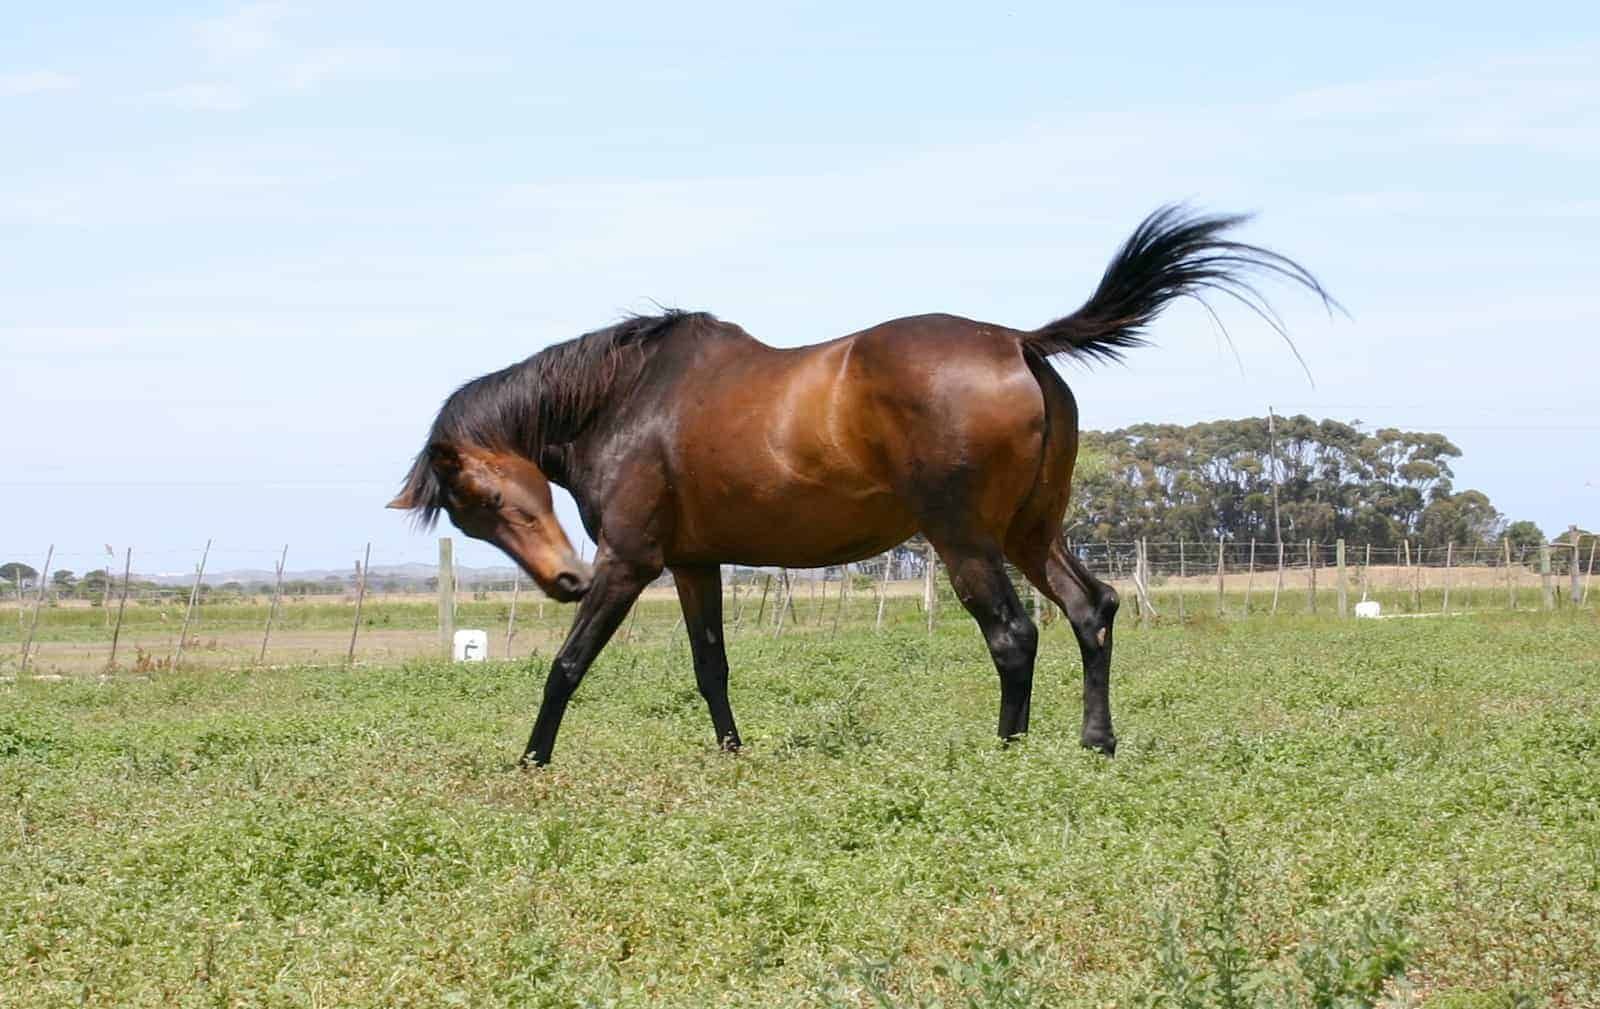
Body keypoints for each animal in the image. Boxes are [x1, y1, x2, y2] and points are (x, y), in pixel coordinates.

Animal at [389, 206, 1332, 766]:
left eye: (484, 500)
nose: (562, 580)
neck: (633, 396)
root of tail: (1017, 341)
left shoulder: (631, 559)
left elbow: (569, 662)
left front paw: (532, 758)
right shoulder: (694, 563)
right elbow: (711, 666)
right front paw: (733, 753)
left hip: (964, 539)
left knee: (1015, 633)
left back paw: (1007, 750)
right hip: (1031, 532)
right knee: (1090, 610)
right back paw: (1093, 742)